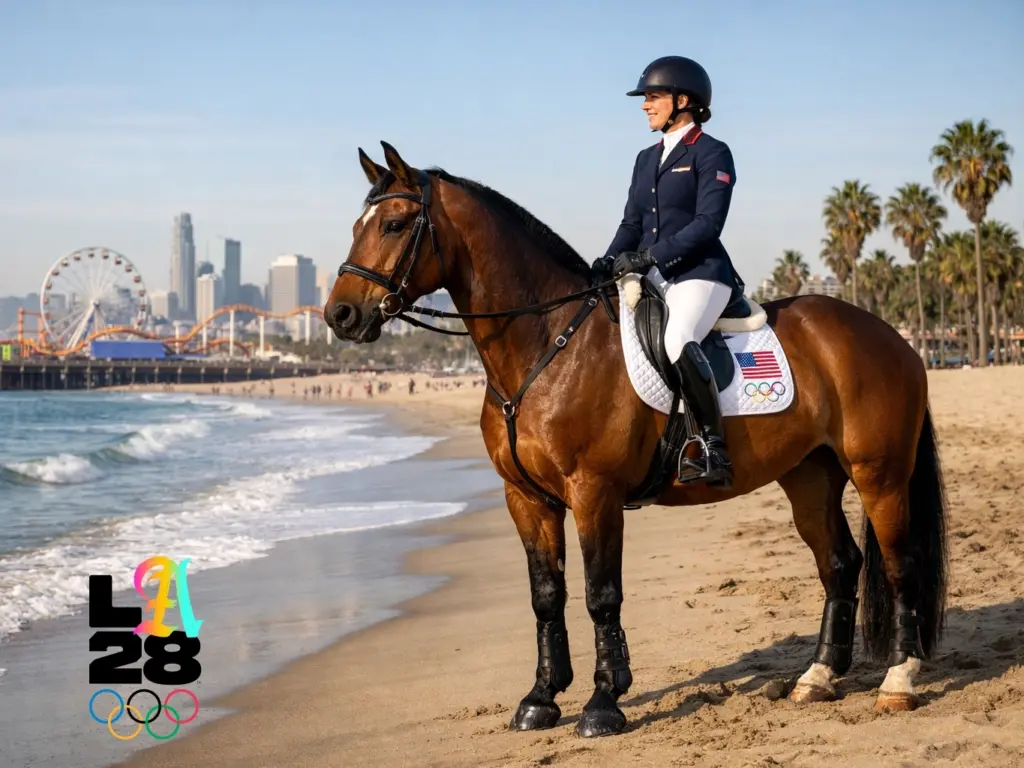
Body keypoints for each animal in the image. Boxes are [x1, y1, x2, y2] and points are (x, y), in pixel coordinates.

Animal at [325, 142, 949, 738]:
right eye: (357, 225)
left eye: (395, 225)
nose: (340, 316)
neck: (547, 343)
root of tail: (892, 336)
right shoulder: (526, 499)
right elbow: (546, 595)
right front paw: (540, 699)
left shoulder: (594, 493)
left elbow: (602, 595)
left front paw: (604, 704)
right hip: (810, 476)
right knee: (840, 563)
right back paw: (816, 678)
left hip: (879, 475)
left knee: (900, 563)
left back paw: (898, 682)